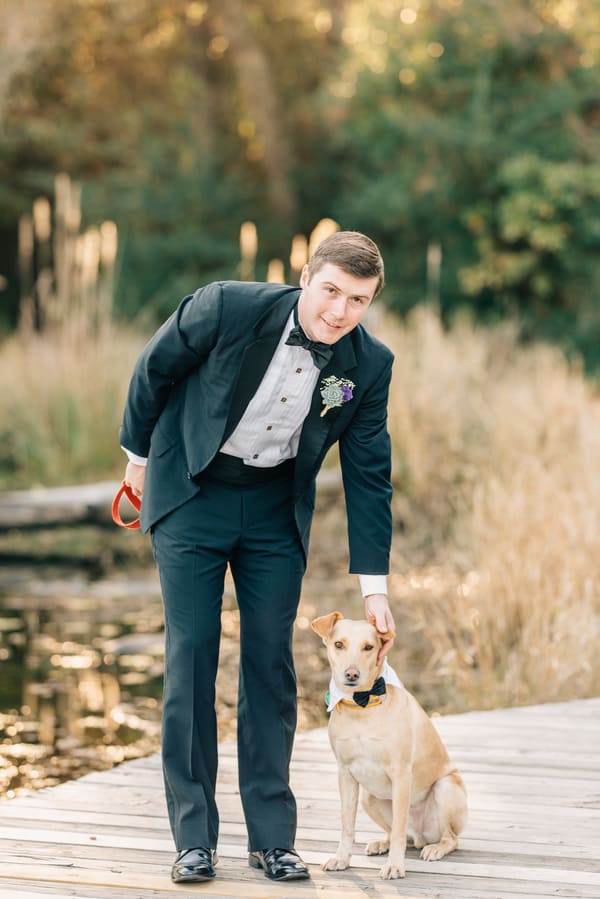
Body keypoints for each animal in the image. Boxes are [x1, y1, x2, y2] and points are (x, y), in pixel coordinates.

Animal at [312, 612, 466, 880]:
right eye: (338, 644)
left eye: (368, 647)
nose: (351, 674)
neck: (361, 706)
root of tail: (421, 836)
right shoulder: (345, 773)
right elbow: (347, 825)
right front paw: (342, 858)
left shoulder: (401, 774)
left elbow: (399, 831)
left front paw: (395, 865)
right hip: (368, 797)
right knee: (394, 831)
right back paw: (380, 843)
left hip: (446, 787)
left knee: (449, 838)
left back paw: (436, 848)